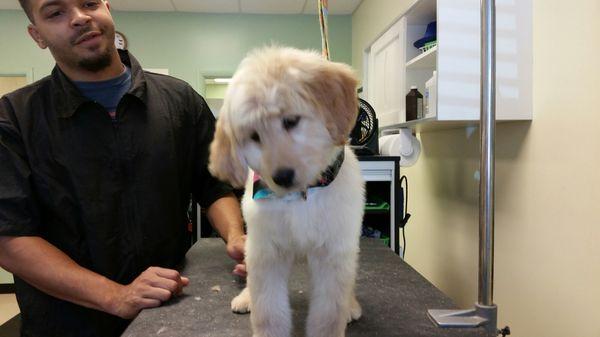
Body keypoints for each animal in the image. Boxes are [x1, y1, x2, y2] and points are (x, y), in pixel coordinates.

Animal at [209, 46, 364, 336]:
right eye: (253, 136)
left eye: (291, 121)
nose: (282, 177)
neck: (302, 197)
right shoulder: (266, 252)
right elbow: (268, 311)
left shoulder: (332, 253)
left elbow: (329, 314)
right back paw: (246, 298)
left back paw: (350, 305)